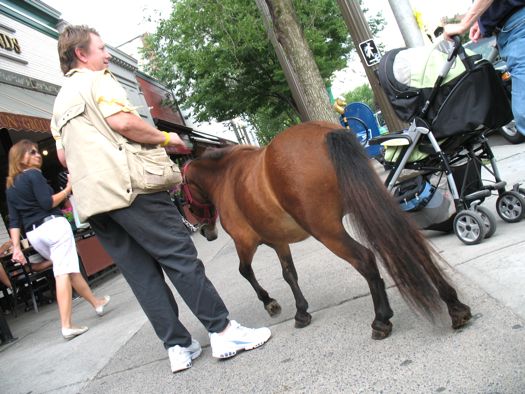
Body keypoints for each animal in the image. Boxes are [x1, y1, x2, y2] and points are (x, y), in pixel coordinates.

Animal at [180, 121, 470, 338]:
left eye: (182, 197)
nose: (206, 232)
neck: (226, 177)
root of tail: (325, 132)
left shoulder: (245, 242)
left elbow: (246, 271)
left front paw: (270, 302)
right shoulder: (279, 241)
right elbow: (289, 274)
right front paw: (302, 311)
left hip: (327, 231)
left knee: (365, 258)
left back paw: (381, 319)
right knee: (408, 244)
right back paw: (454, 306)